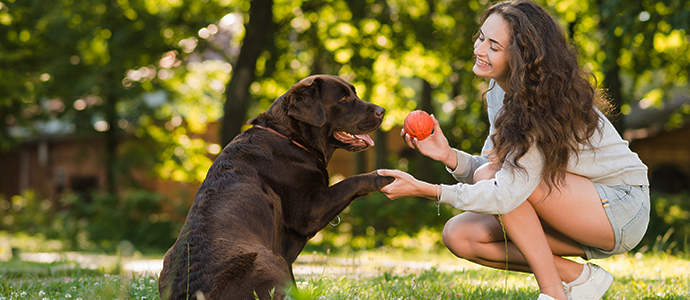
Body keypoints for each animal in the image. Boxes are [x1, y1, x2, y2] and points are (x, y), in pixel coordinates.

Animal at [157, 75, 392, 300]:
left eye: (355, 93)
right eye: (343, 98)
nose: (382, 110)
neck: (290, 137)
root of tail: (192, 291)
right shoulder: (309, 212)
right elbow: (352, 181)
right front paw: (385, 178)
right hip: (268, 258)